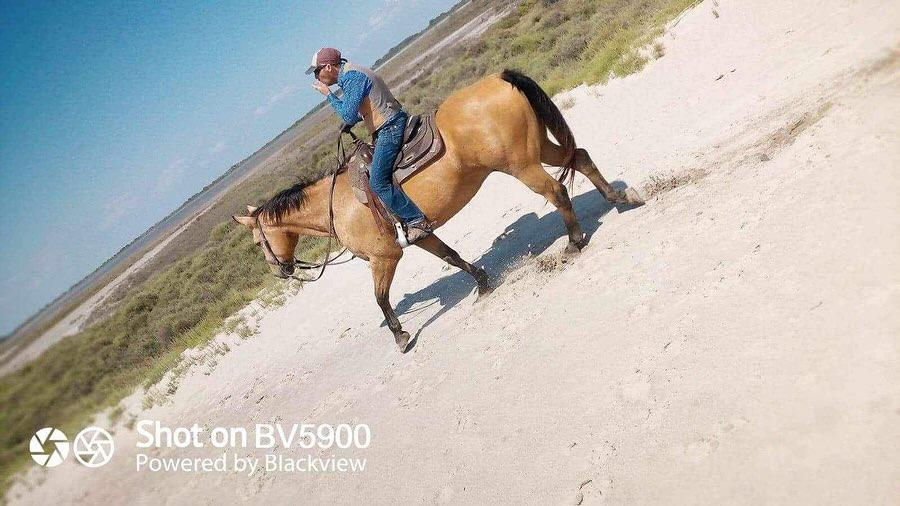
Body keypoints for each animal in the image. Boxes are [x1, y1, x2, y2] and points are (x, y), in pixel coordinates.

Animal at [233, 70, 643, 352]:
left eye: (257, 242)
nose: (280, 271)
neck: (339, 204)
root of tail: (500, 79)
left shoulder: (384, 257)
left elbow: (380, 299)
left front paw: (401, 336)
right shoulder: (420, 235)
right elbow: (452, 256)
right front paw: (482, 283)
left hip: (521, 165)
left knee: (557, 191)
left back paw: (574, 242)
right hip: (540, 148)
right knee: (581, 158)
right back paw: (622, 200)